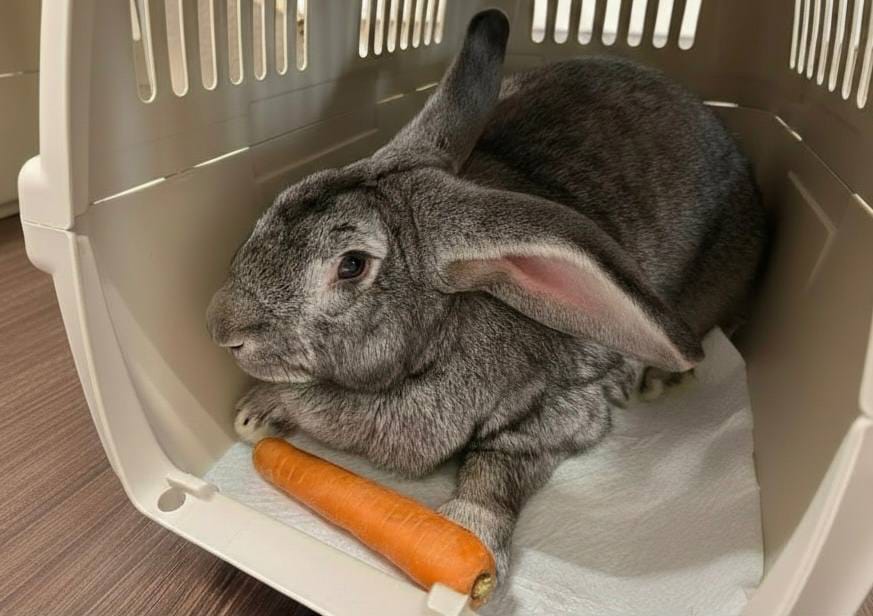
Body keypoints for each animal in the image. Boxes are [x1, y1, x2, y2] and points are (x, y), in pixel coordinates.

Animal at [206, 9, 767, 583]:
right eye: (285, 197)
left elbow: (498, 469)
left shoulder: (559, 412)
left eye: (352, 265)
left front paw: (470, 534)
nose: (220, 327)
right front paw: (254, 413)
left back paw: (662, 376)